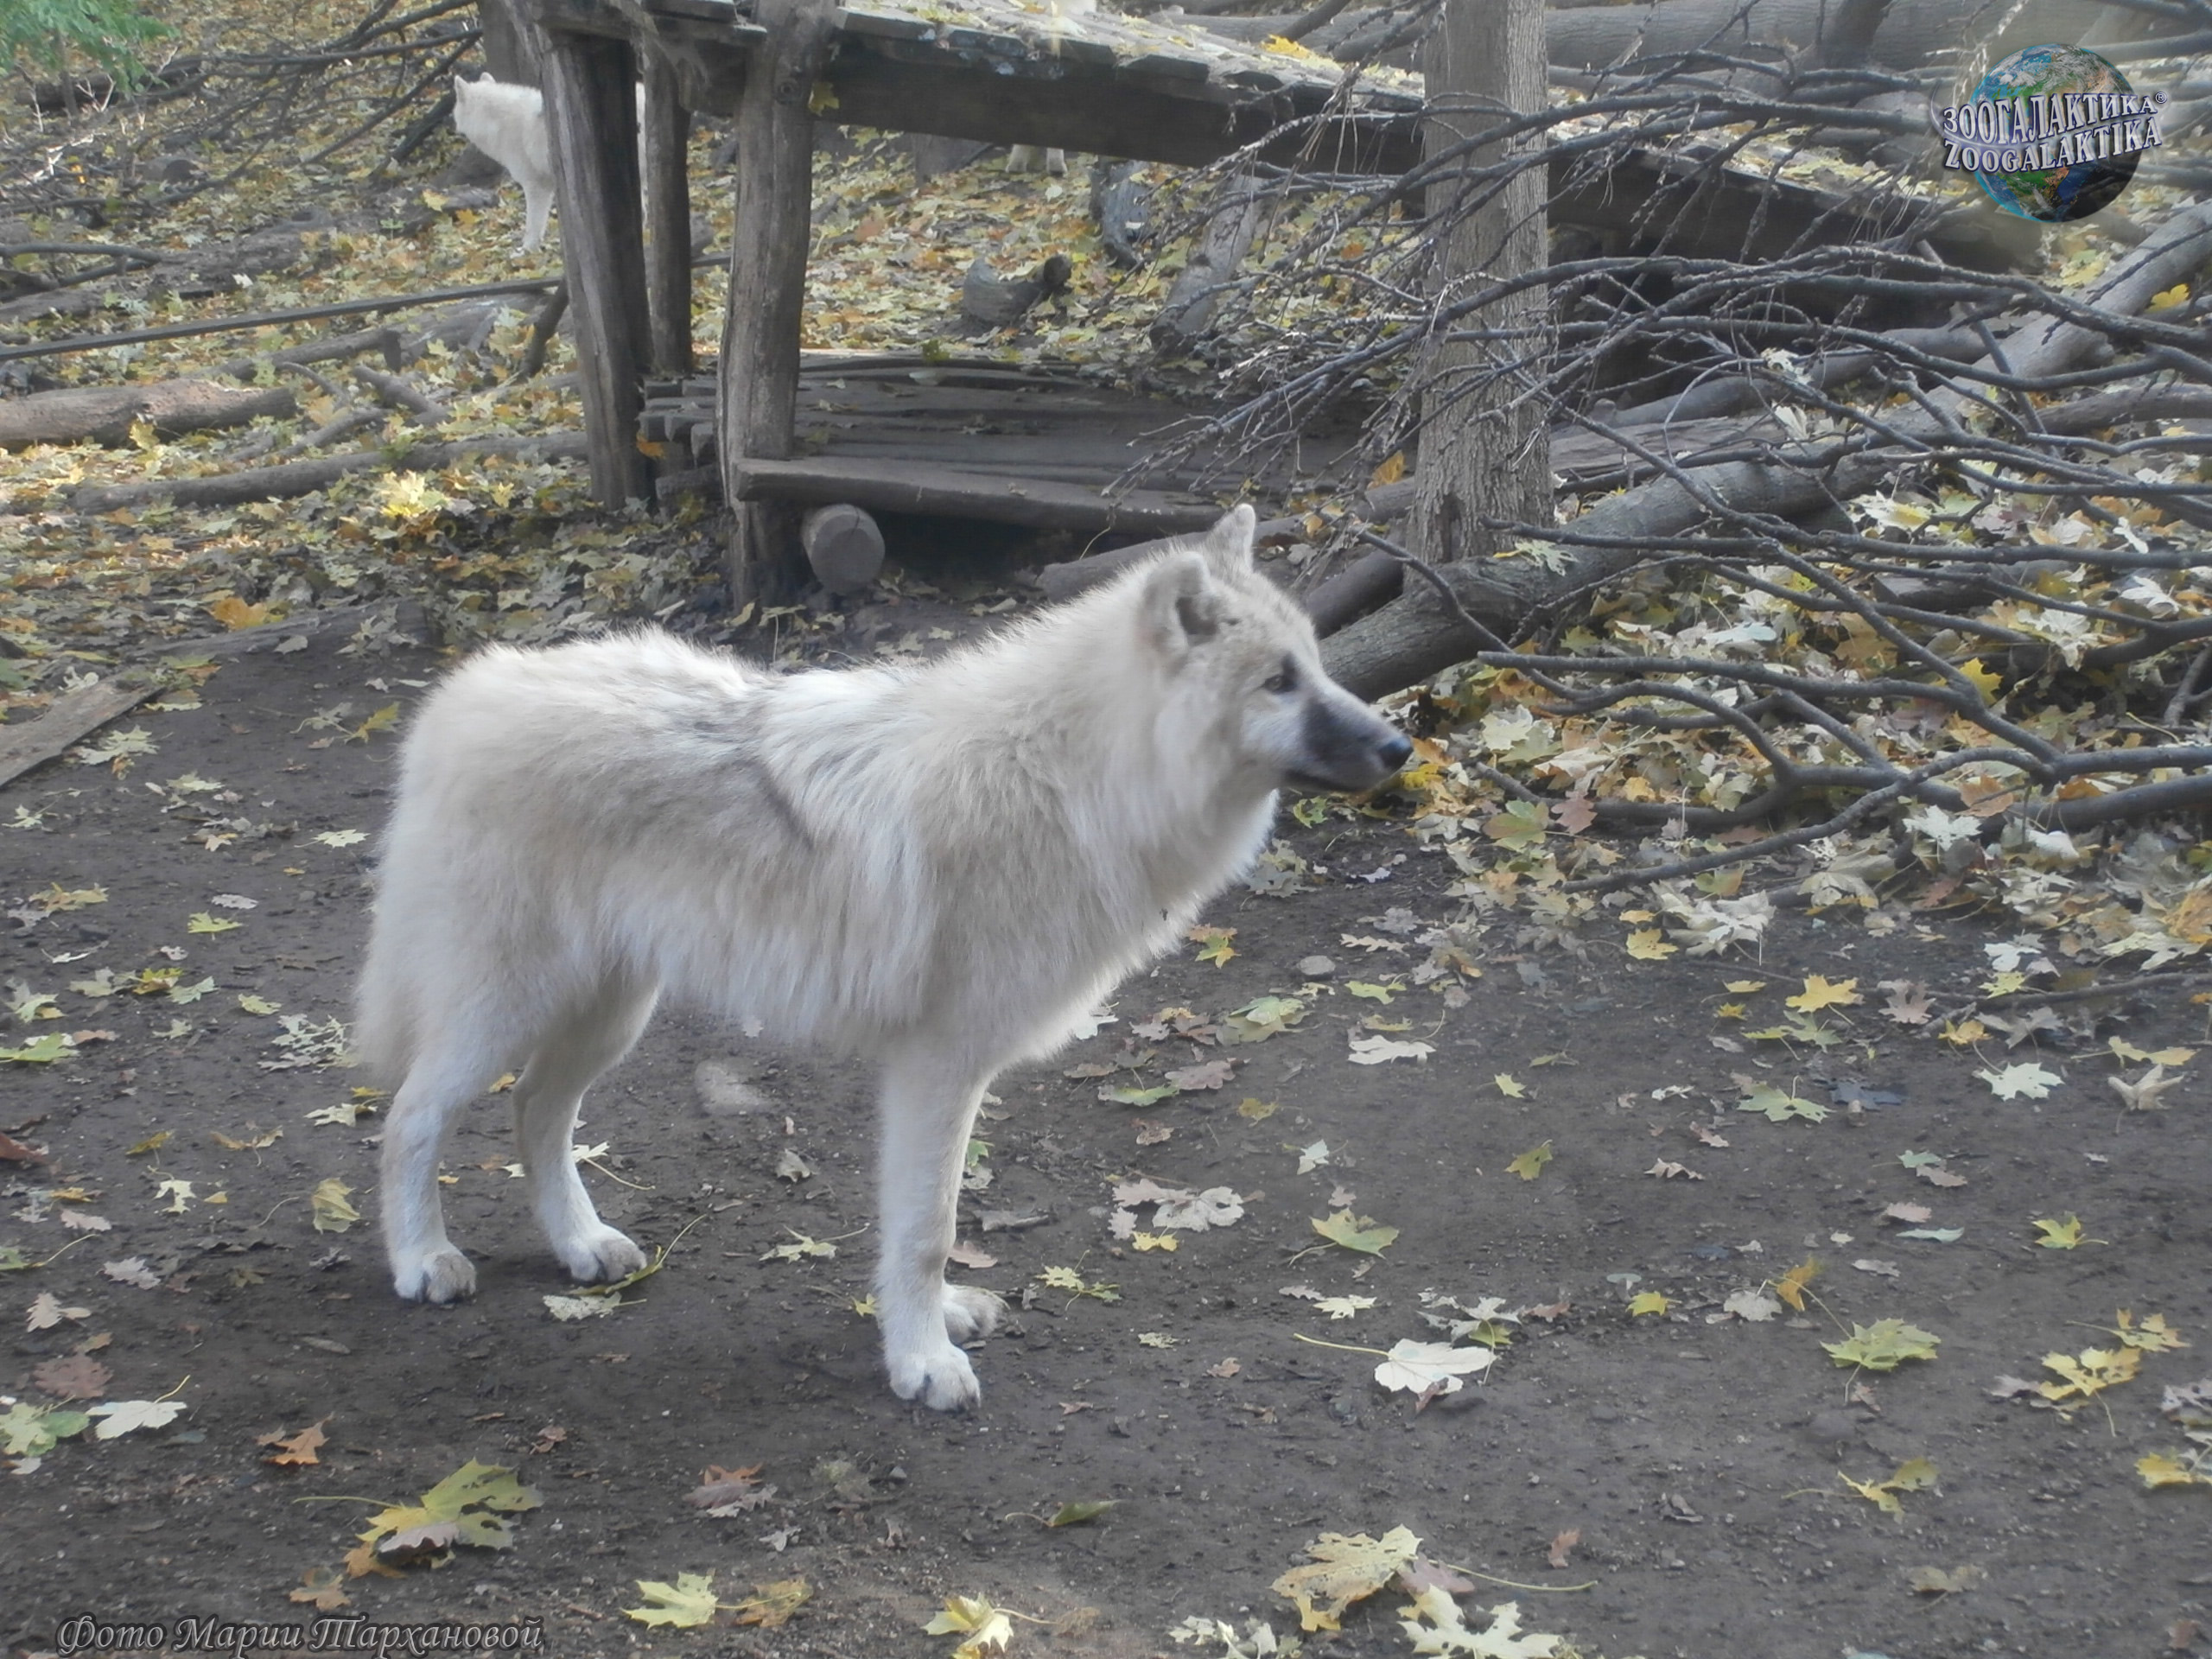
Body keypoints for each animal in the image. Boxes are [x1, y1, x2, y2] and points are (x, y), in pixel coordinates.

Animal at [357, 505, 1411, 1409]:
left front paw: (933, 1330)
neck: (1071, 782)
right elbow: (925, 1232)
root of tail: (465, 695)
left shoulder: (938, 1076)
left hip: (611, 1014)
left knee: (536, 1112)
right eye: (1278, 682)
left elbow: (925, 1226)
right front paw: (922, 1364)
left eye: (1318, 668)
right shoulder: (938, 1068)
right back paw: (420, 1263)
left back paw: (581, 1244)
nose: (1402, 746)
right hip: (509, 1009)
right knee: (410, 1118)